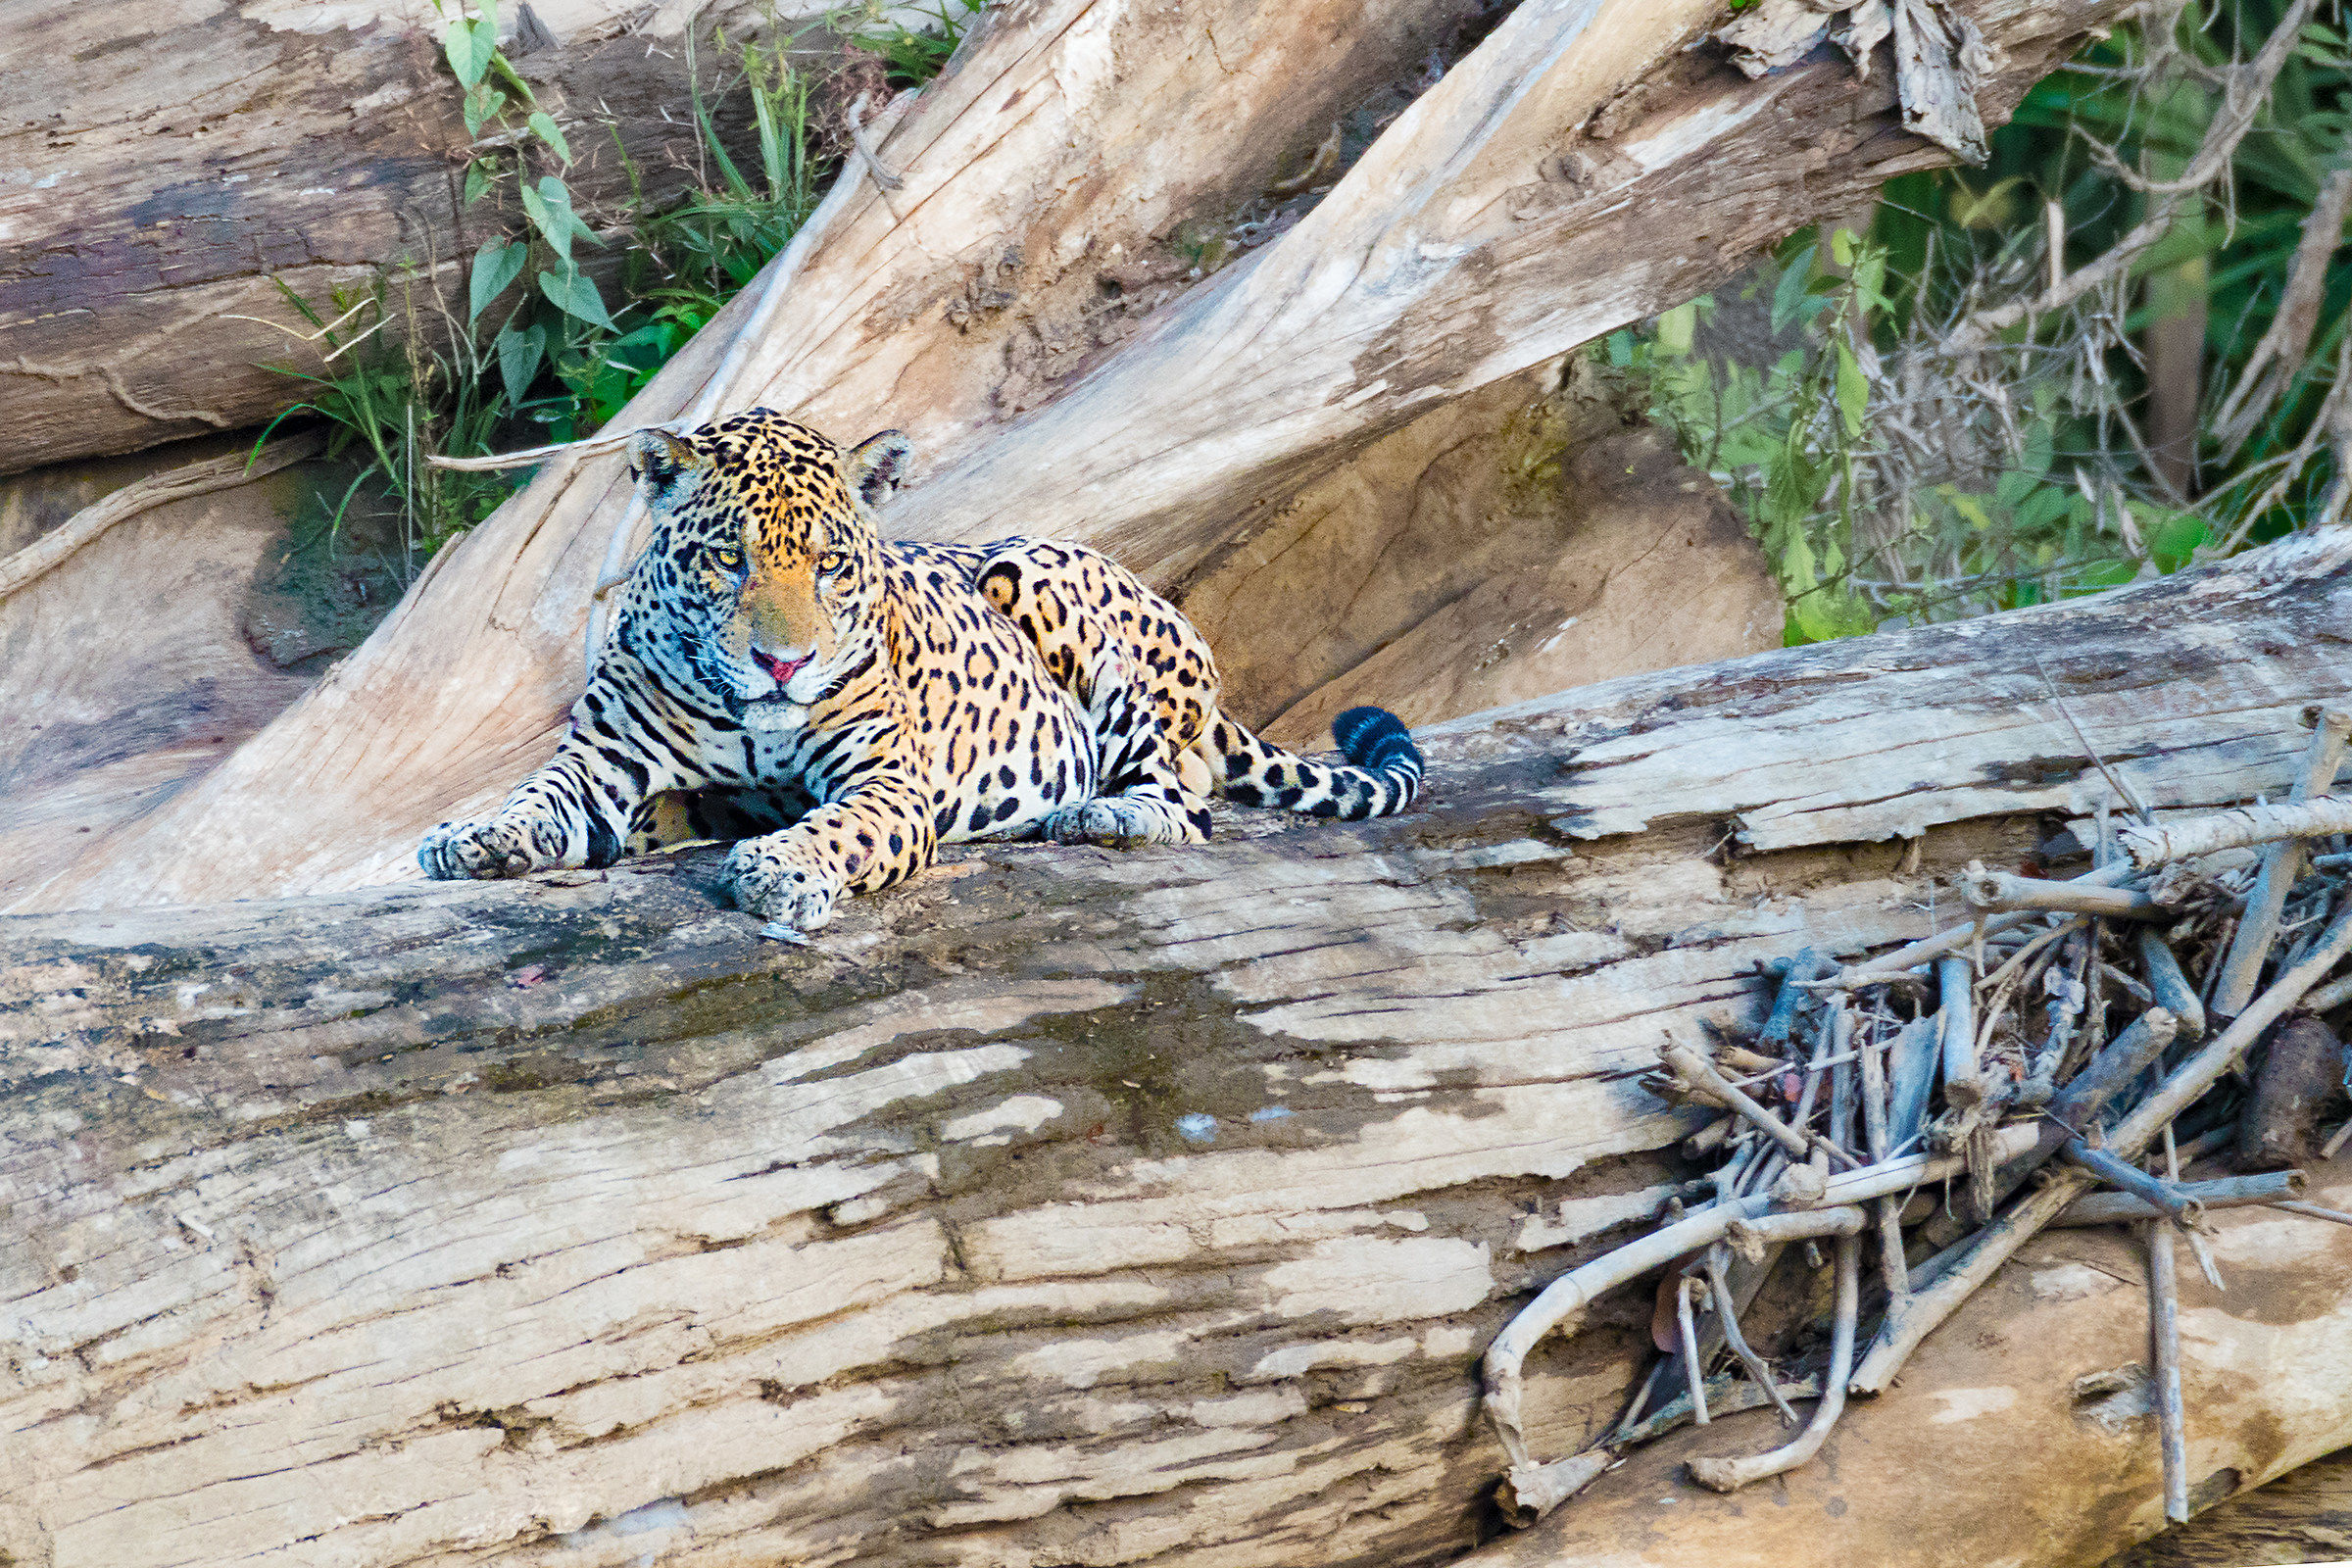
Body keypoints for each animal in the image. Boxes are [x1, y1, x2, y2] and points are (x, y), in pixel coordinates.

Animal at [418, 408, 1424, 935]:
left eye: (830, 563)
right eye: (728, 559)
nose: (783, 663)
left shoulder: (887, 783)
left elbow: (841, 827)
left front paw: (781, 868)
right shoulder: (602, 759)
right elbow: (540, 797)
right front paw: (476, 834)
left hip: (1040, 579)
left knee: (1187, 794)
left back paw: (1101, 815)